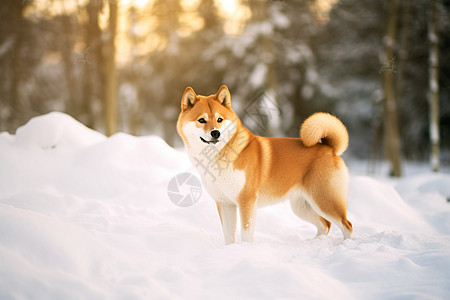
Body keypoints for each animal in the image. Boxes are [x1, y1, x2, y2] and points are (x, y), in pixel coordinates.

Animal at [178, 84, 354, 244]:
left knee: (347, 225)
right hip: (302, 206)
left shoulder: (246, 200)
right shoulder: (225, 204)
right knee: (325, 225)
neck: (220, 156)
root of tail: (330, 148)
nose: (216, 132)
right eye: (201, 120)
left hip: (324, 201)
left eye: (219, 119)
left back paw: (346, 245)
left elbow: (246, 233)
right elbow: (229, 237)